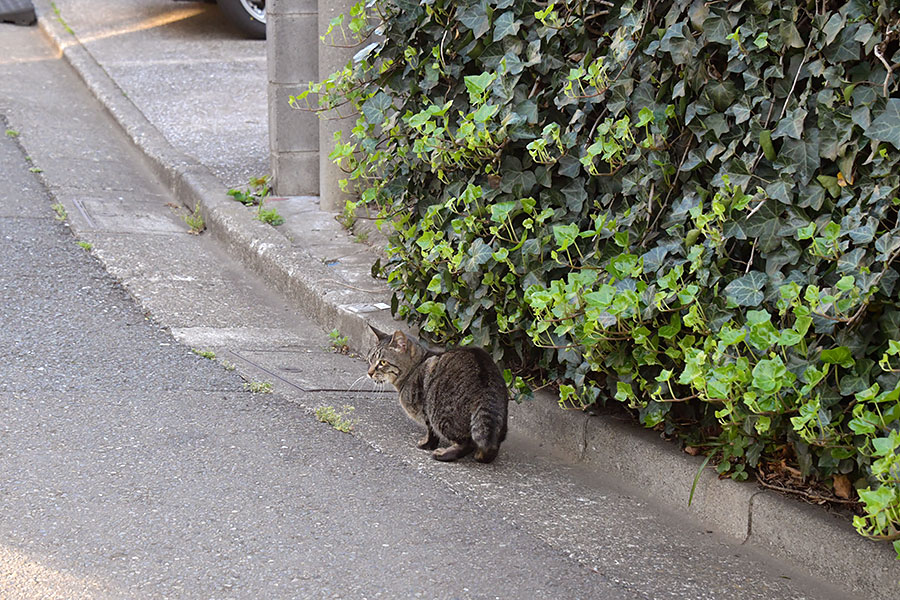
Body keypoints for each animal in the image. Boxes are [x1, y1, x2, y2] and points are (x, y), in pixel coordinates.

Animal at [364, 326, 506, 462]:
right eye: (370, 360)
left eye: (382, 362)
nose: (369, 373)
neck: (414, 368)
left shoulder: (426, 411)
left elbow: (431, 433)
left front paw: (426, 444)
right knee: (490, 448)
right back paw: (481, 455)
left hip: (441, 414)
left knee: (467, 443)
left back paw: (444, 454)